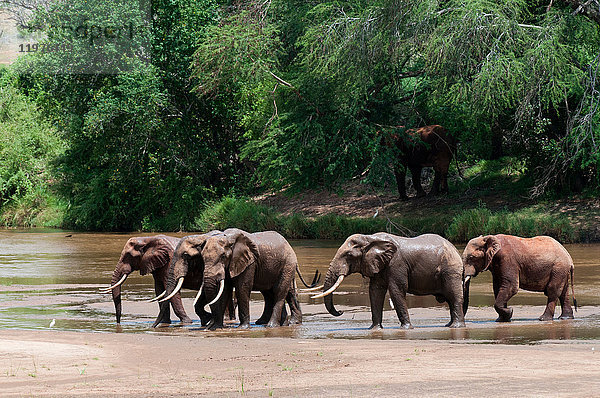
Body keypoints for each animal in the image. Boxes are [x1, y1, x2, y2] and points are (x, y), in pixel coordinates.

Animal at [314, 232, 468, 328]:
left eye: (349, 255)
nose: (341, 311)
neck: (370, 238)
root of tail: (456, 250)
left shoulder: (396, 264)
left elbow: (396, 290)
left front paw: (406, 328)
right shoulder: (378, 265)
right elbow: (375, 292)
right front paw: (374, 329)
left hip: (451, 270)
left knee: (454, 297)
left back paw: (456, 326)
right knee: (450, 299)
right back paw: (448, 325)